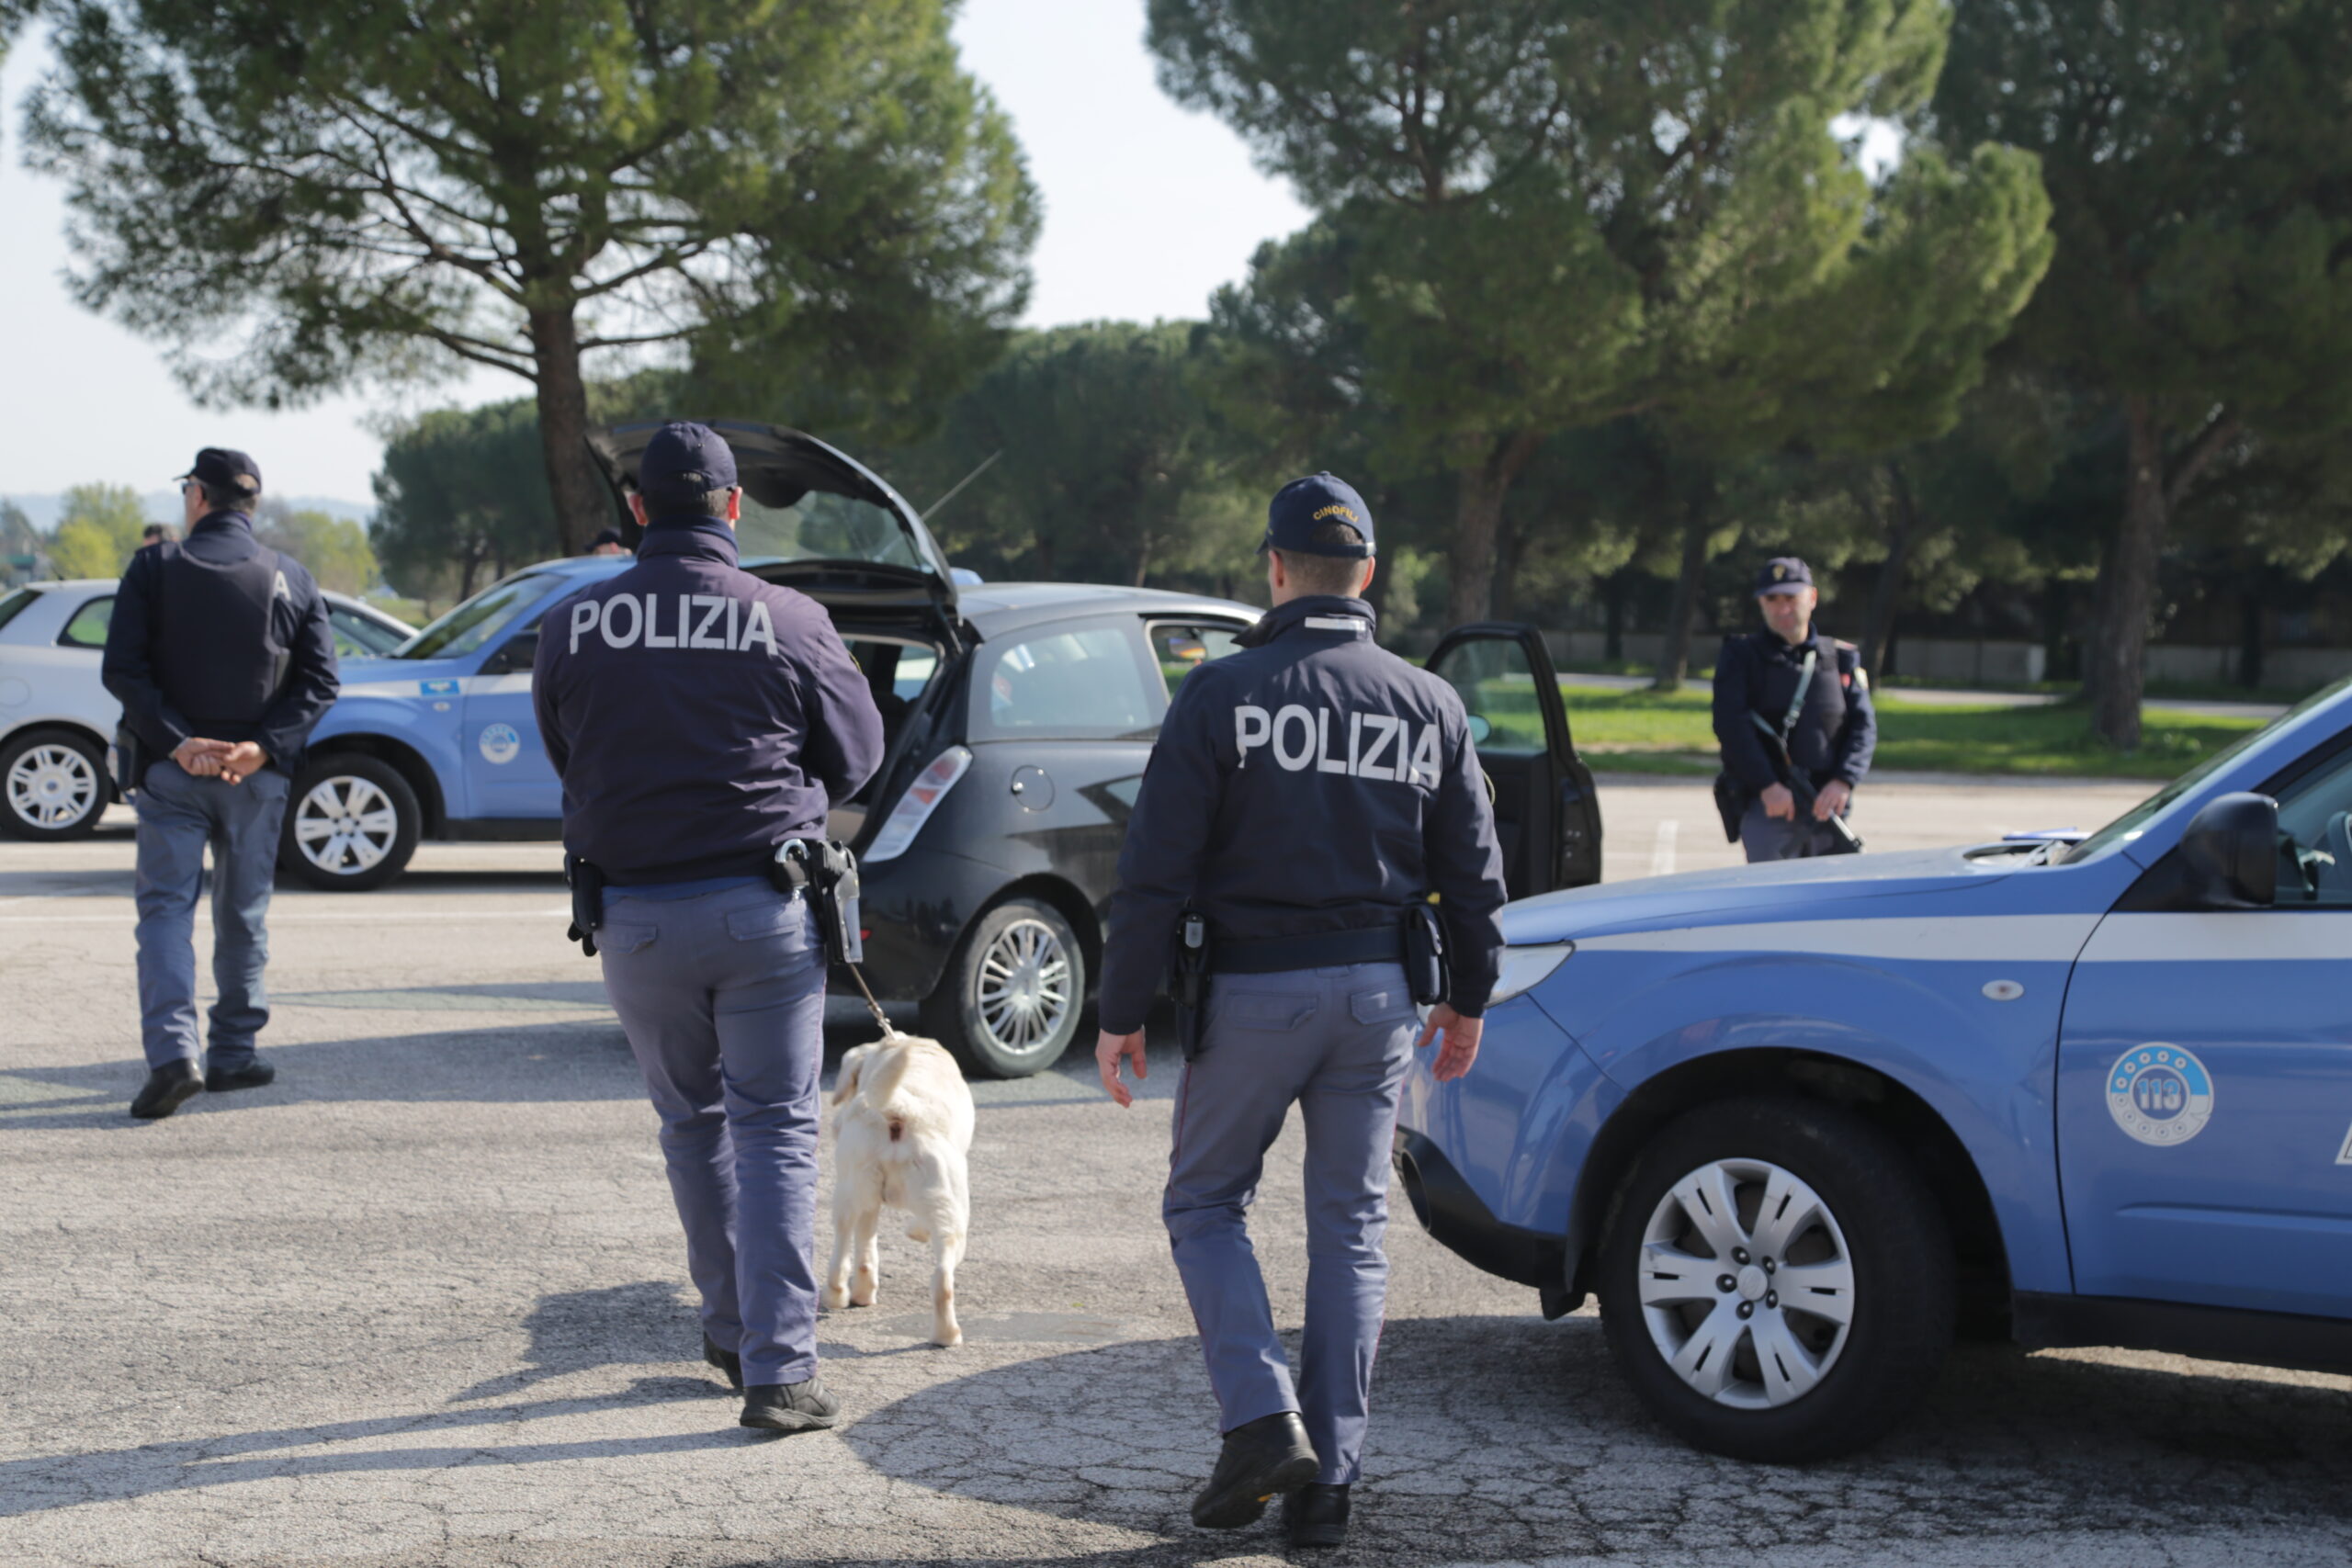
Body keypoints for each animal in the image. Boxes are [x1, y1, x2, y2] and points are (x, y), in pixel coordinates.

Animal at [828, 1029, 973, 1354]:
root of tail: (901, 1109)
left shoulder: (869, 1203)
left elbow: (866, 1250)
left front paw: (863, 1294)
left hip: (849, 1190)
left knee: (843, 1252)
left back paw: (839, 1295)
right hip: (951, 1211)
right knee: (942, 1279)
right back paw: (947, 1335)